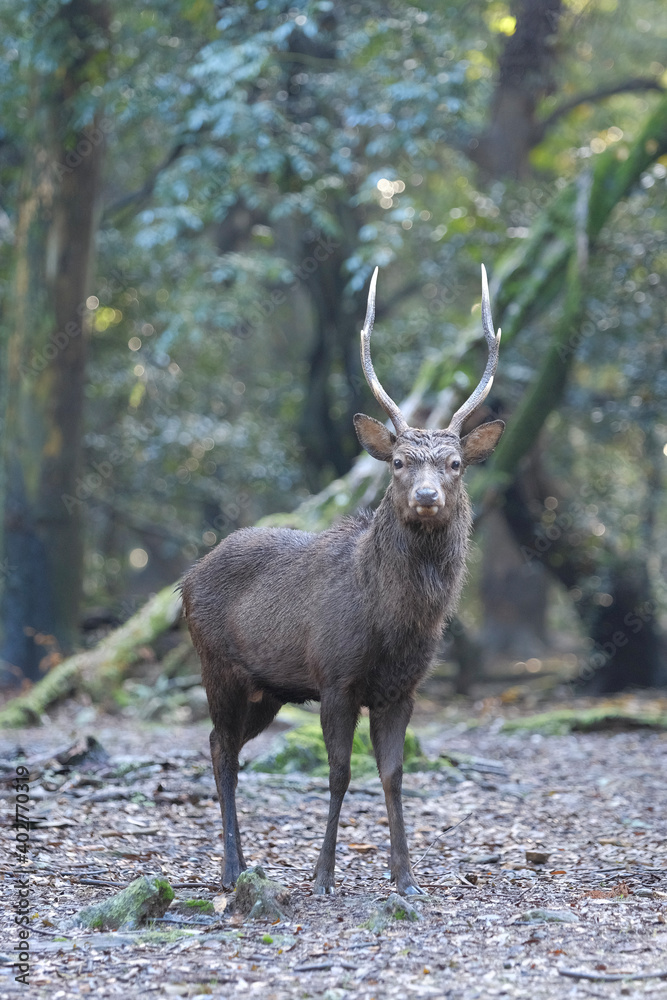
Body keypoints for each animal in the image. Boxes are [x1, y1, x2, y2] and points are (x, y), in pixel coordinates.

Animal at [180, 262, 504, 896]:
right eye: (399, 462)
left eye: (454, 465)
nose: (427, 496)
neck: (392, 624)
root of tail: (184, 580)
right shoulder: (334, 676)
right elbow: (338, 773)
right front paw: (323, 875)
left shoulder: (402, 689)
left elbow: (394, 775)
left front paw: (406, 878)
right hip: (218, 665)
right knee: (221, 749)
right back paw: (231, 869)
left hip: (267, 690)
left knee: (222, 745)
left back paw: (241, 863)